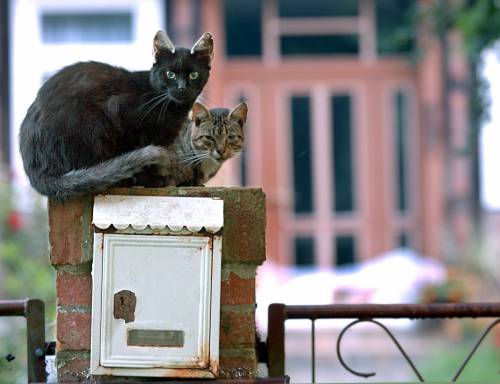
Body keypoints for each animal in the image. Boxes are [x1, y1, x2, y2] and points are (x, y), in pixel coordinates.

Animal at [19, 30, 213, 201]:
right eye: (170, 74)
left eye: (193, 75)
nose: (182, 88)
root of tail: (36, 171)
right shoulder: (121, 112)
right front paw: (157, 181)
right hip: (94, 125)